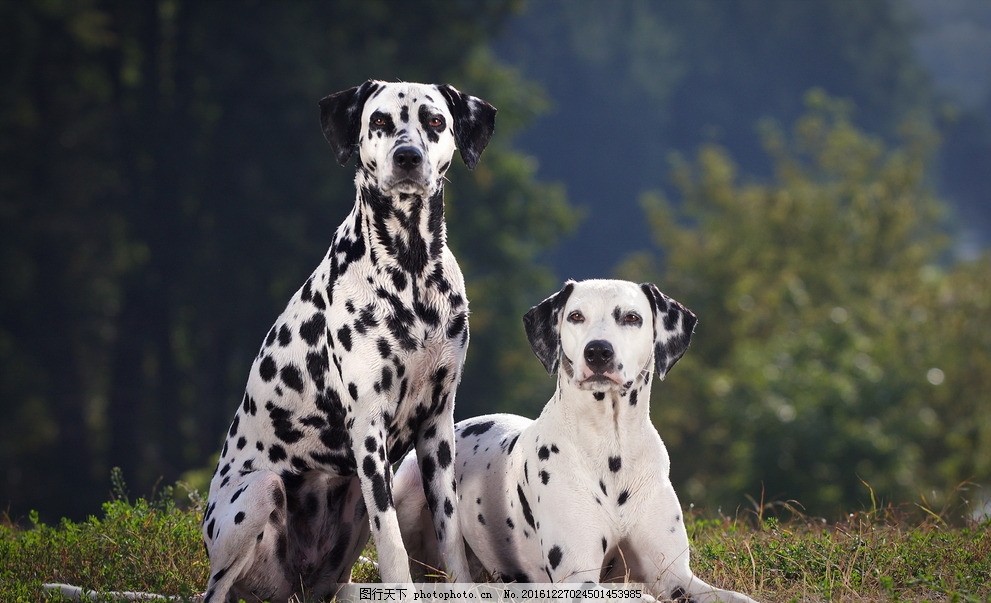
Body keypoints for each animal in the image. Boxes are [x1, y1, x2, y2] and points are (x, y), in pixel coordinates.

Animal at [202, 81, 496, 603]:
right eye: (379, 121)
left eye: (435, 121)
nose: (407, 156)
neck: (412, 271)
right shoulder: (368, 431)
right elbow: (393, 545)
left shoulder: (438, 428)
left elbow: (452, 538)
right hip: (260, 492)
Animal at [396, 280, 760, 600]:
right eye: (575, 316)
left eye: (632, 317)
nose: (597, 351)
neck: (612, 449)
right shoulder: (579, 579)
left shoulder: (675, 576)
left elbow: (736, 598)